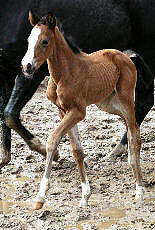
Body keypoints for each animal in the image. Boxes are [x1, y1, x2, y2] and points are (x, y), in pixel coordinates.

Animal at [0, 0, 154, 169]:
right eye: (28, 41)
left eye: (45, 42)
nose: (26, 65)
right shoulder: (6, 72)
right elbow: (4, 114)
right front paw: (4, 159)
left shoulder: (33, 73)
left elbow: (9, 113)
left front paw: (48, 151)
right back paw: (119, 149)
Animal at [21, 12, 143, 210]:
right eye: (28, 40)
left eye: (45, 41)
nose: (27, 66)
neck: (65, 73)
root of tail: (125, 56)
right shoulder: (63, 111)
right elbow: (77, 150)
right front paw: (85, 196)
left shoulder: (78, 111)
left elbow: (53, 139)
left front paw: (40, 197)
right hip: (108, 104)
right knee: (132, 127)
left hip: (126, 101)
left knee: (134, 135)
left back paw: (139, 190)